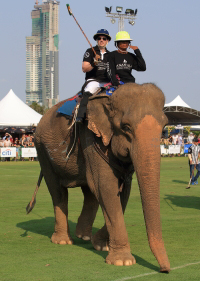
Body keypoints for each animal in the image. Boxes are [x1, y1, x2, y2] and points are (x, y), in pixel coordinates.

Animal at [26, 82, 170, 272]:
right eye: (126, 127)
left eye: (164, 127)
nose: (165, 270)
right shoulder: (90, 137)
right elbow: (106, 187)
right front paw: (122, 261)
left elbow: (122, 191)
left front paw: (101, 245)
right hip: (42, 149)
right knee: (58, 191)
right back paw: (64, 241)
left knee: (89, 191)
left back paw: (84, 236)